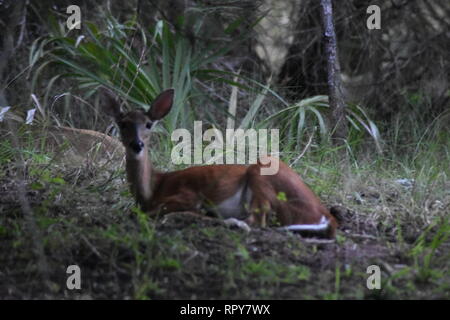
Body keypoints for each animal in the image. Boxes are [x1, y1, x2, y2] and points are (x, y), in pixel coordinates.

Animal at [105, 89, 338, 238]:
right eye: (123, 123)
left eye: (148, 124)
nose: (137, 144)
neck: (152, 189)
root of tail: (325, 214)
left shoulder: (187, 194)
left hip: (262, 172)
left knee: (257, 221)